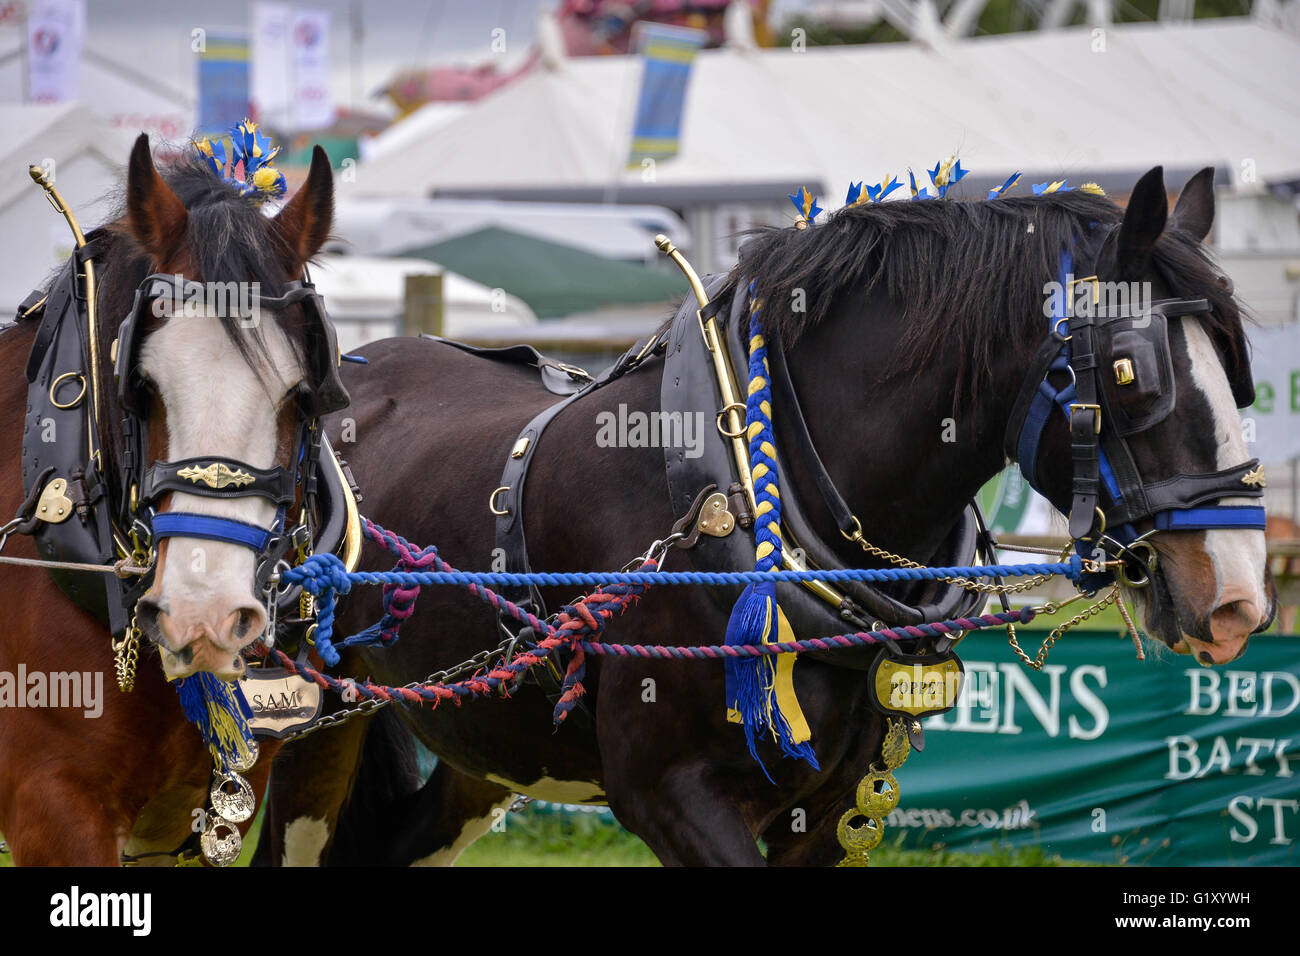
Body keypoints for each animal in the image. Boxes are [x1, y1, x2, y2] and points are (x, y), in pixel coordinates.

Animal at [258, 164, 1274, 868]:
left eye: (1236, 363)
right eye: (1136, 372)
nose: (1238, 599)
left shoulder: (827, 810)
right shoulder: (670, 795)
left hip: (483, 744)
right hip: (298, 720)